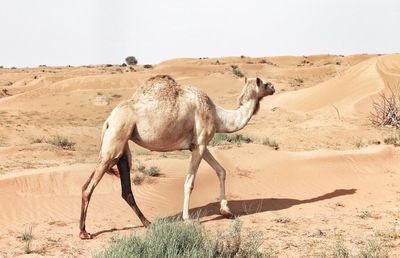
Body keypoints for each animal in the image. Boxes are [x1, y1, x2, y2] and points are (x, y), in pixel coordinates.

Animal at [79, 74, 276, 238]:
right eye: (265, 83)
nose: (274, 87)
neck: (217, 116)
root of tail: (108, 120)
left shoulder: (198, 145)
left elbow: (221, 170)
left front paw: (226, 211)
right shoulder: (200, 144)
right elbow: (189, 183)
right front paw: (187, 218)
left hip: (120, 147)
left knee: (120, 188)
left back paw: (148, 223)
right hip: (116, 138)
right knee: (90, 187)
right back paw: (84, 232)